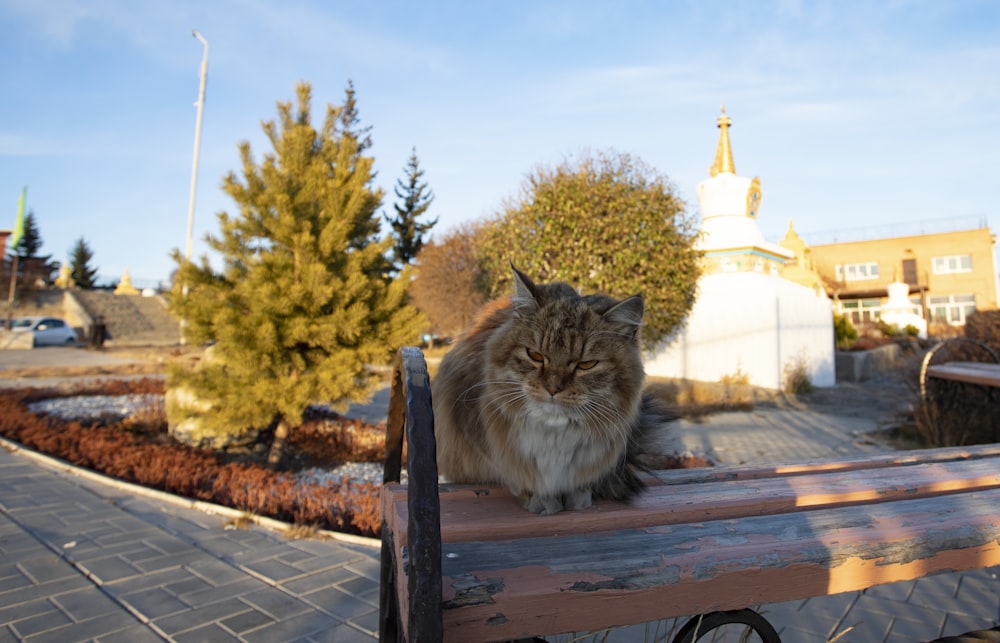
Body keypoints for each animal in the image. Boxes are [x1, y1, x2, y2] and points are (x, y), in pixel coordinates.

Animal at [428, 266, 668, 512]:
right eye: (535, 355)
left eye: (586, 364)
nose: (552, 388)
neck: (554, 434)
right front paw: (538, 498)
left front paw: (578, 496)